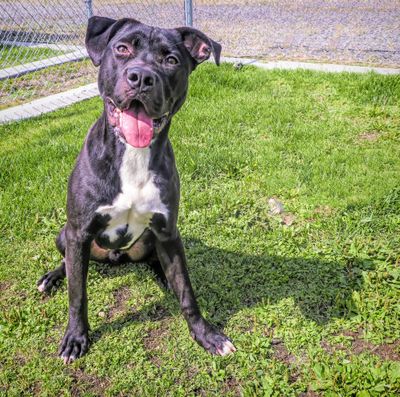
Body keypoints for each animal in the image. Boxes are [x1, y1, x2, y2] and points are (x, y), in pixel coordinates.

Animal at [36, 15, 234, 362]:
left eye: (171, 60)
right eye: (122, 49)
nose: (141, 77)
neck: (132, 153)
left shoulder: (168, 231)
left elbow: (187, 291)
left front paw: (206, 335)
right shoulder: (79, 232)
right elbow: (77, 294)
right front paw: (75, 337)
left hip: (152, 240)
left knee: (160, 265)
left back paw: (164, 278)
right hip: (65, 235)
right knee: (69, 265)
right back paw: (52, 277)